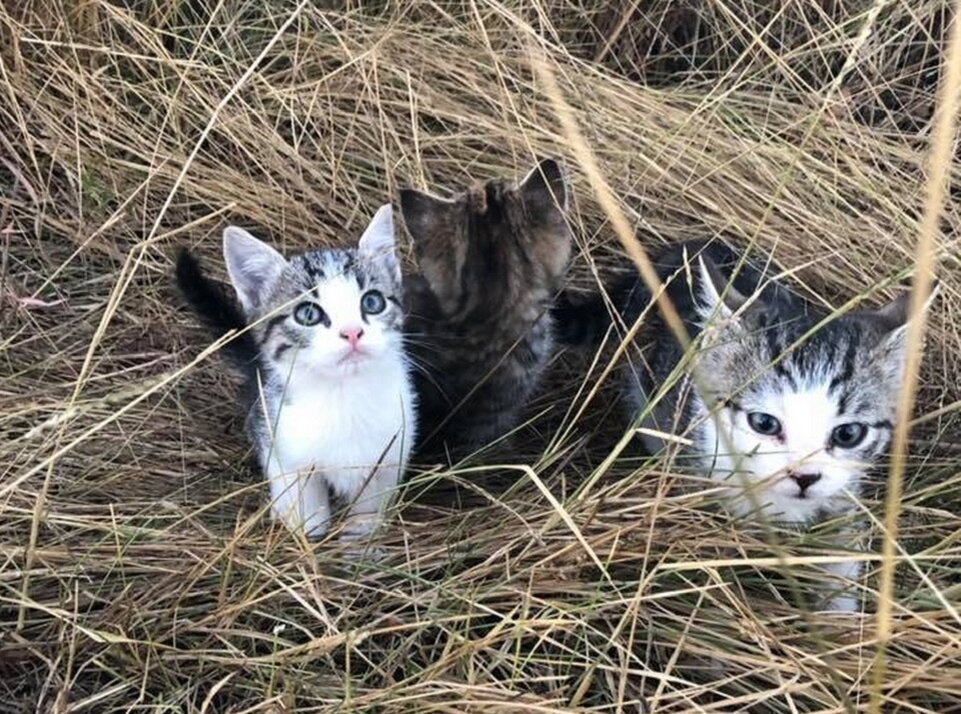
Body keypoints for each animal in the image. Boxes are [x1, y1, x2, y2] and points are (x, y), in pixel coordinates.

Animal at [174, 206, 414, 540]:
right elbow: (302, 497)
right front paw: (307, 528)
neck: (343, 396)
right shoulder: (279, 439)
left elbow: (370, 502)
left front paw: (362, 534)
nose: (352, 332)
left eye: (372, 301)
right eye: (308, 314)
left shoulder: (392, 450)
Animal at [560, 239, 928, 608]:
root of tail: (703, 243)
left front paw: (837, 613)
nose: (804, 477)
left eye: (849, 434)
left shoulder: (844, 494)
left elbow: (842, 555)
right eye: (764, 423)